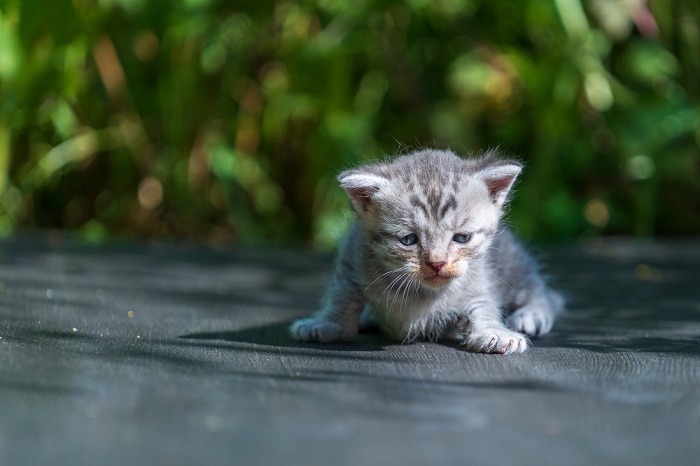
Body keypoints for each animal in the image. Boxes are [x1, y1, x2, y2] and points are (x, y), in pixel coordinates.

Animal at [290, 148, 564, 354]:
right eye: (408, 240)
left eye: (461, 238)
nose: (437, 262)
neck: (421, 294)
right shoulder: (352, 255)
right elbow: (342, 295)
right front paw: (326, 324)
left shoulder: (480, 279)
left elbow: (484, 305)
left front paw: (494, 332)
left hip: (512, 263)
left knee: (544, 292)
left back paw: (532, 314)